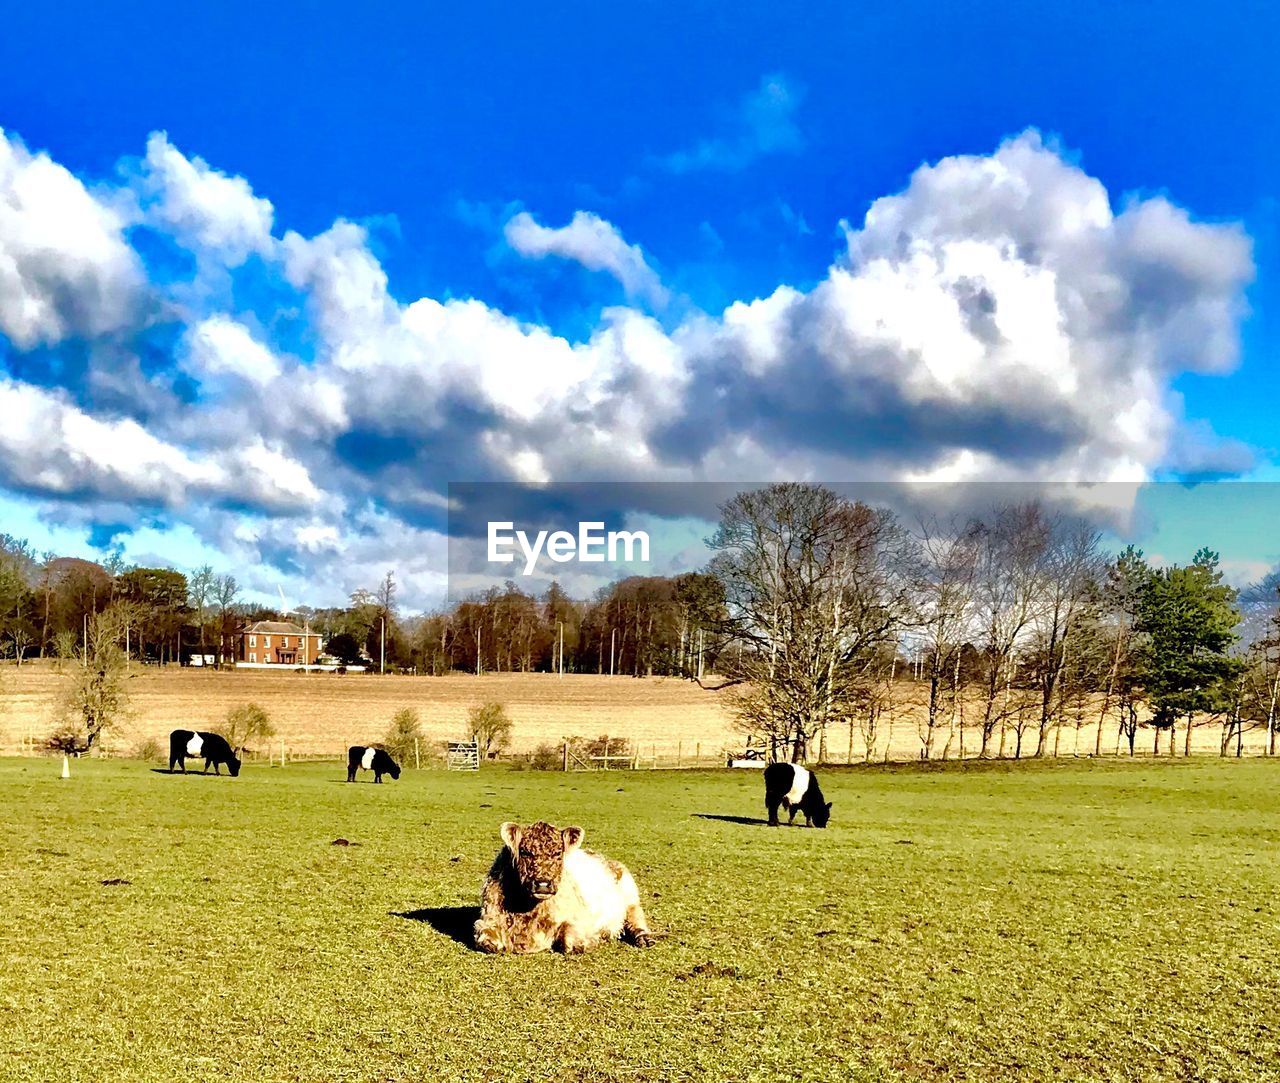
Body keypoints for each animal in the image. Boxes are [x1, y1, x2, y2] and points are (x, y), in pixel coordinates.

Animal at [478, 824, 660, 957]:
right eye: (525, 852)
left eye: (558, 853)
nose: (543, 884)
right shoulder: (487, 919)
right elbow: (487, 942)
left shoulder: (578, 920)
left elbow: (571, 943)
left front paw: (592, 940)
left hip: (631, 898)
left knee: (636, 920)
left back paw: (645, 938)